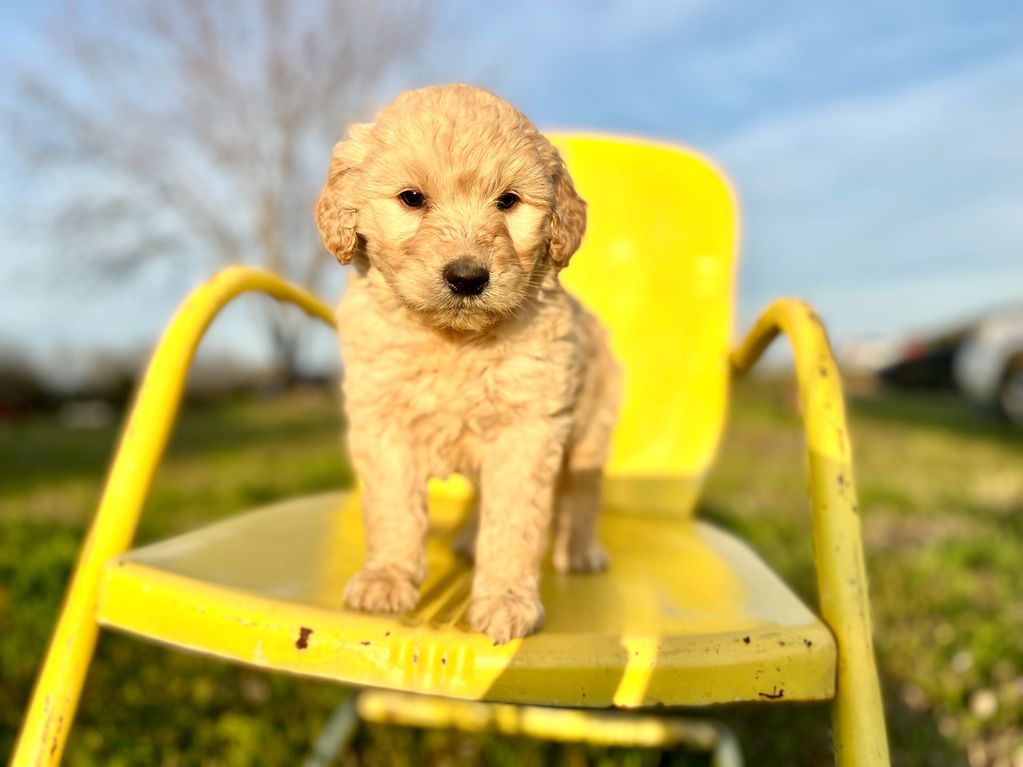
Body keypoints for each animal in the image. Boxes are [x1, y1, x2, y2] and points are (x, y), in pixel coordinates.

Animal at [310, 83, 617, 646]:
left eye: (508, 201)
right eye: (412, 198)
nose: (468, 277)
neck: (454, 341)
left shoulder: (528, 430)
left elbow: (514, 522)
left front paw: (507, 601)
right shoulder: (383, 423)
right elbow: (392, 508)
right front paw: (387, 578)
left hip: (592, 425)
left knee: (583, 491)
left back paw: (581, 551)